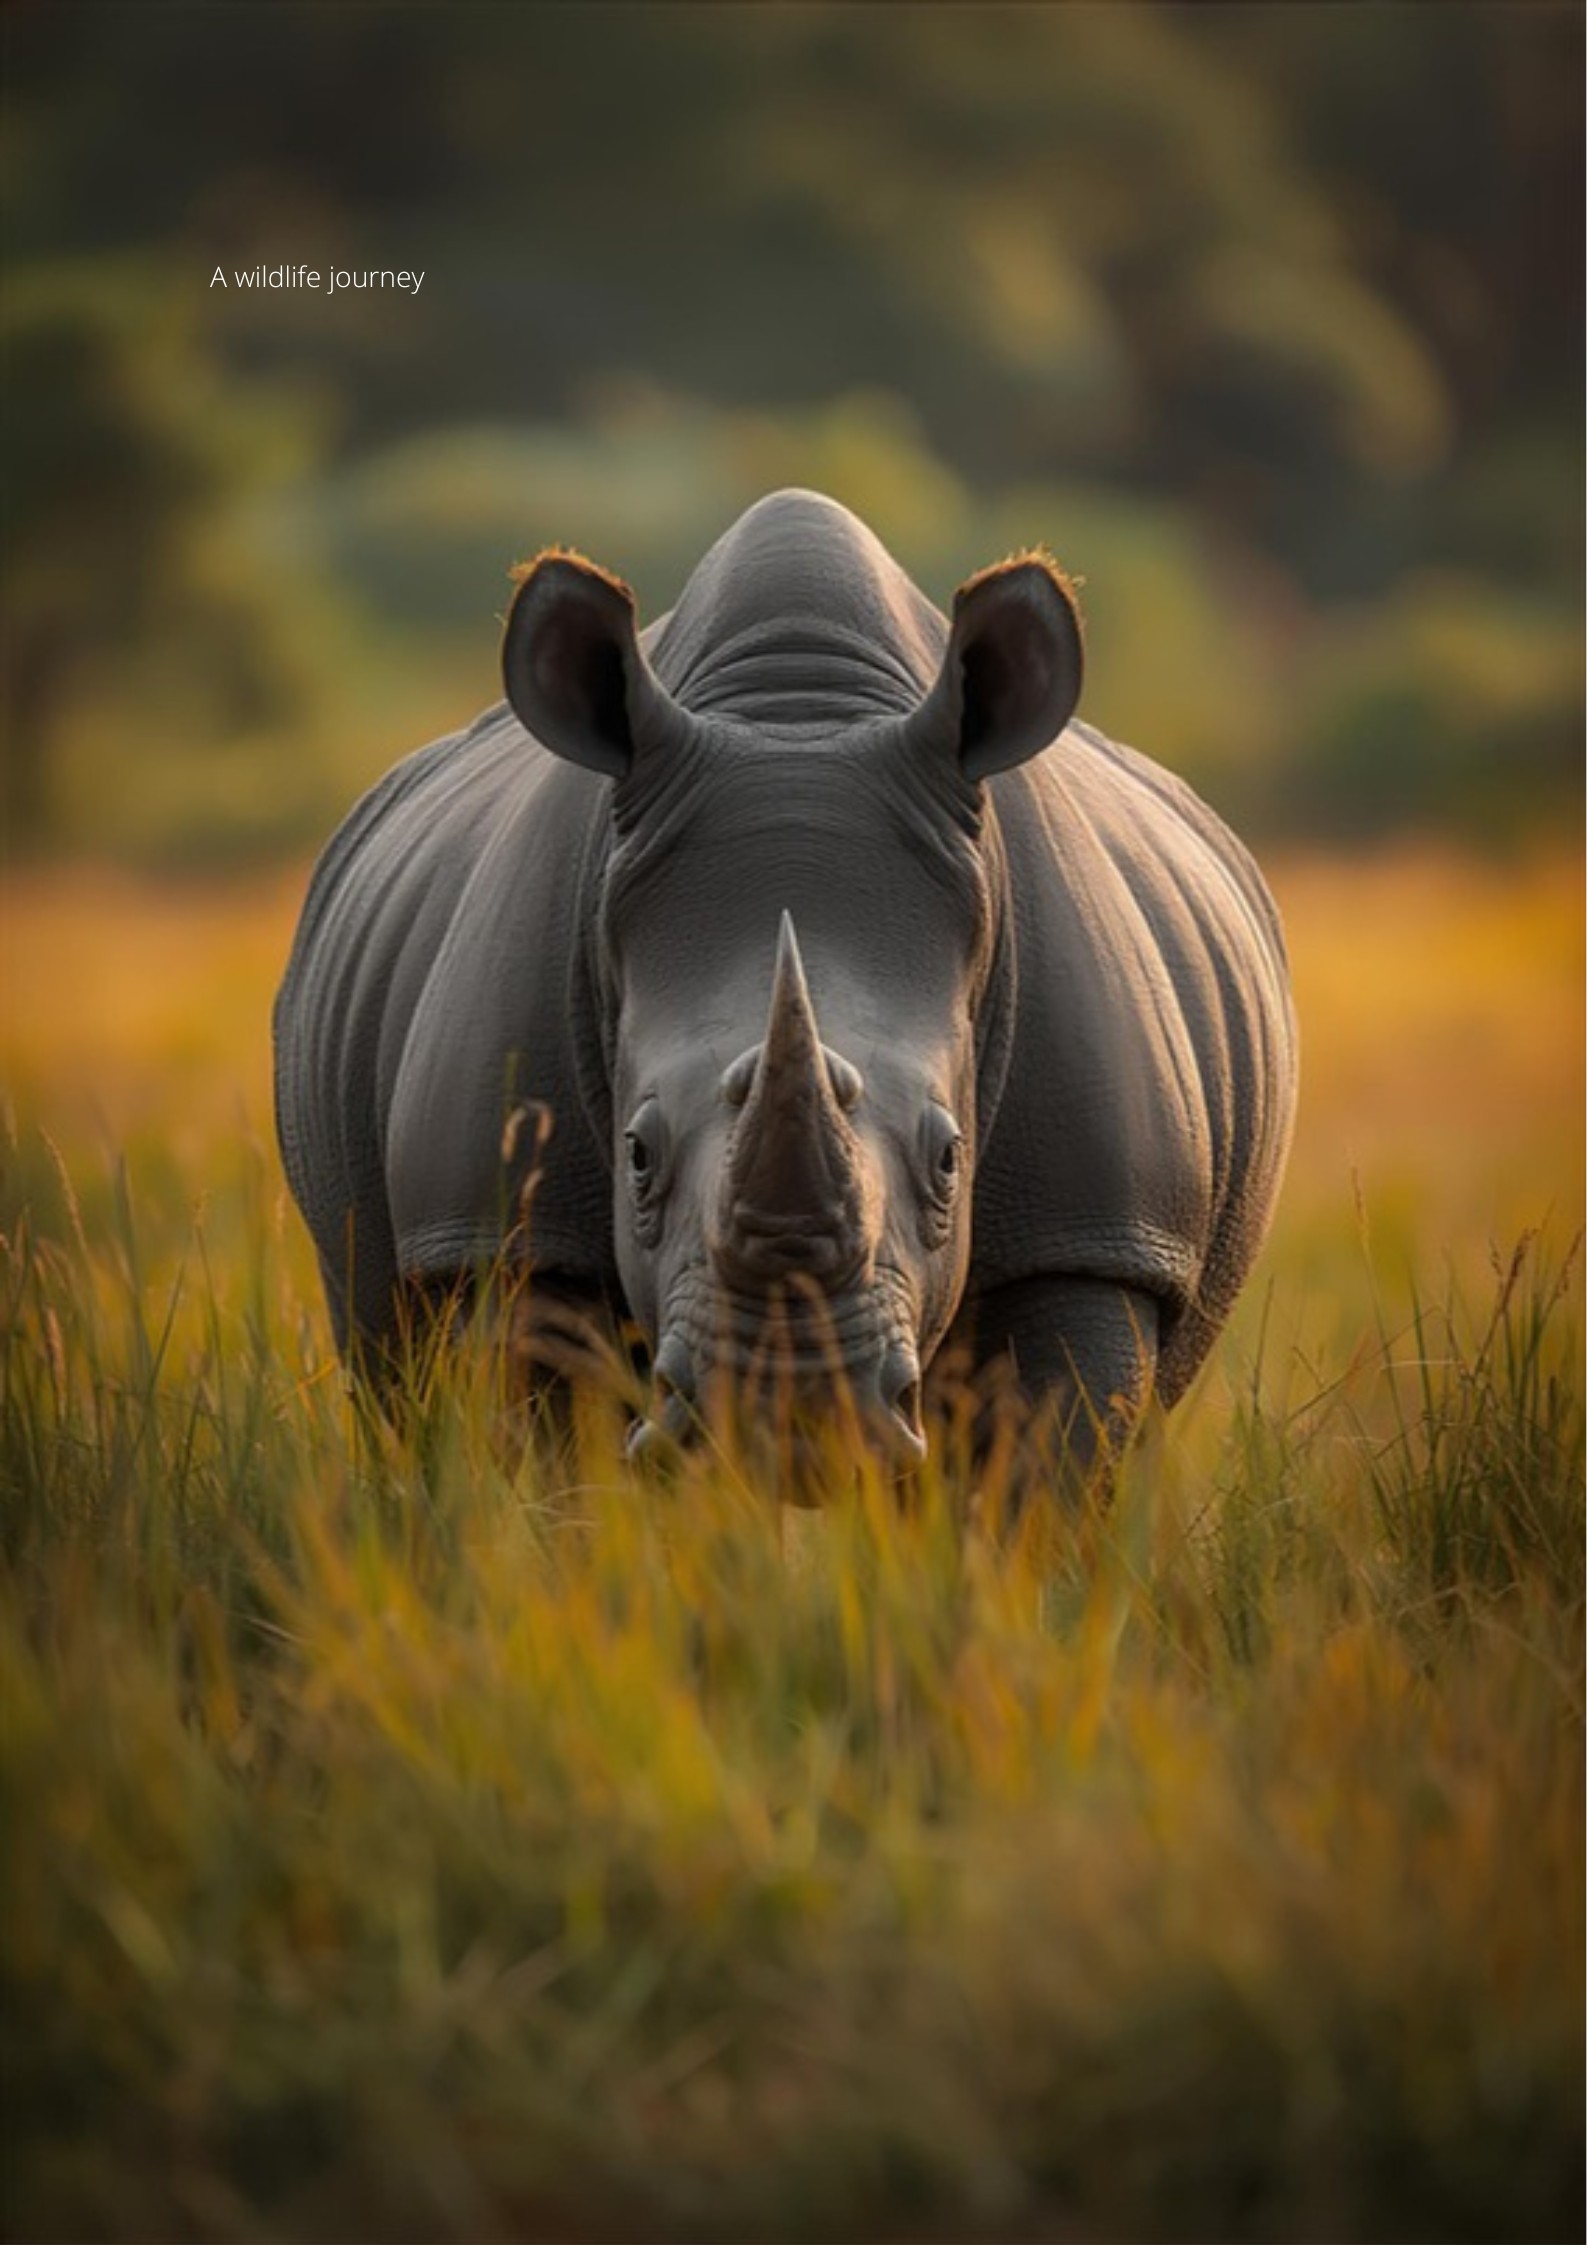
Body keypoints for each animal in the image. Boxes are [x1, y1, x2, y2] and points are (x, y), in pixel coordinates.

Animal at [274, 489, 1296, 1483]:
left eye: (952, 1156)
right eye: (635, 1152)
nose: (791, 1417)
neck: (798, 715)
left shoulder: (1093, 1233)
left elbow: (1047, 1470)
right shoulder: (500, 1233)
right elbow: (547, 1463)